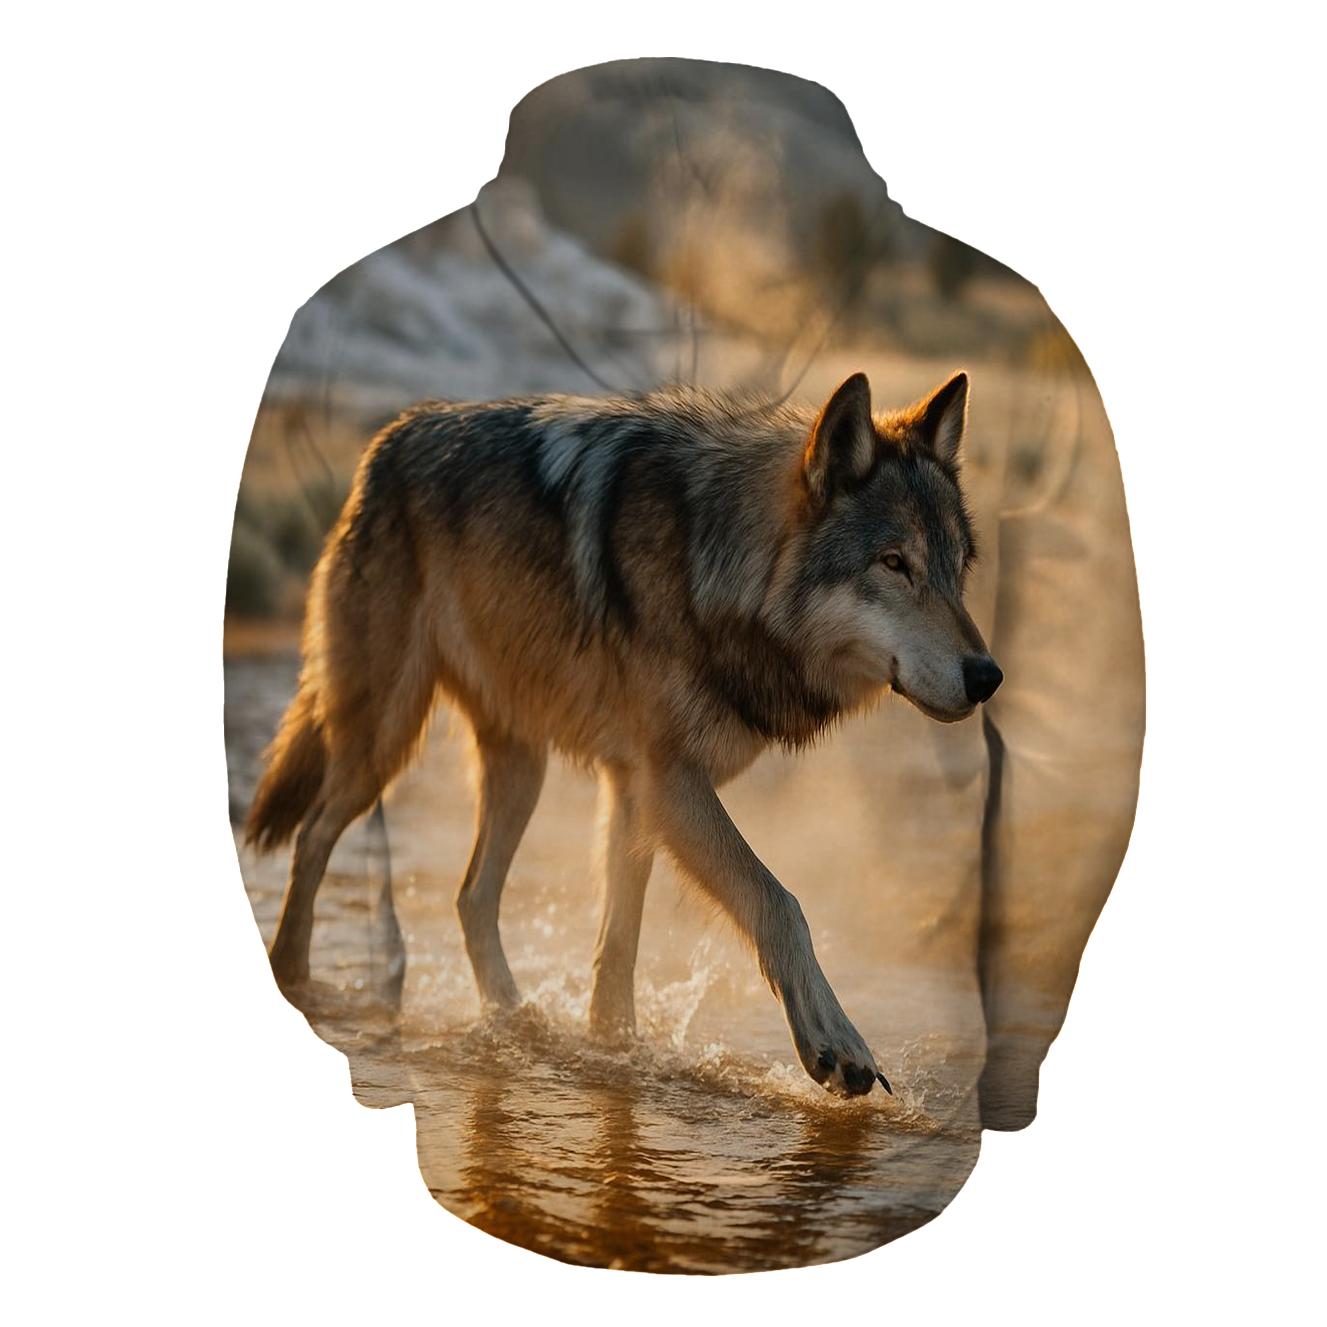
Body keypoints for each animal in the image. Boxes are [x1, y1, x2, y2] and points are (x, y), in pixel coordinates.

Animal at [244, 370, 1001, 1097]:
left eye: (957, 567)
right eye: (894, 562)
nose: (988, 675)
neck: (709, 563)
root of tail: (388, 438)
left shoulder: (634, 789)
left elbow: (619, 944)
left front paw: (613, 1046)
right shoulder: (669, 781)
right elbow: (778, 901)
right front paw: (837, 1045)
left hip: (520, 768)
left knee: (471, 896)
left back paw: (515, 1021)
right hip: (385, 737)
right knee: (313, 837)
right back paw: (298, 977)